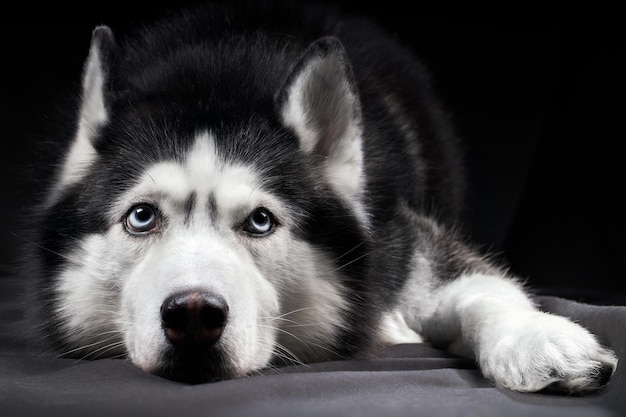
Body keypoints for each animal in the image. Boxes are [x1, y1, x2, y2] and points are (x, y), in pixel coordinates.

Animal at [25, 0, 616, 390]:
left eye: (261, 221)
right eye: (141, 217)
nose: (193, 314)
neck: (217, 77)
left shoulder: (404, 242)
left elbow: (480, 286)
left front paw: (536, 336)